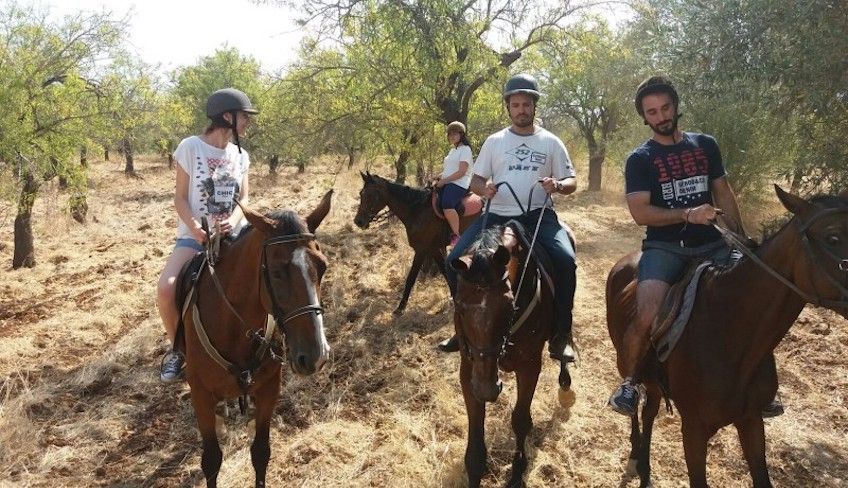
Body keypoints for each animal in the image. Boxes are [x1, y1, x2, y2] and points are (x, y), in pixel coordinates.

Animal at [183, 191, 334, 488]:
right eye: (275, 272)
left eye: (322, 267)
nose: (316, 356)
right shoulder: (200, 394)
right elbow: (211, 460)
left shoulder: (269, 388)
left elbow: (261, 452)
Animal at [354, 172, 480, 314]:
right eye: (361, 194)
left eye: (371, 195)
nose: (358, 221)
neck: (417, 210)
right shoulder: (434, 249)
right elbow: (445, 272)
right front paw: (454, 298)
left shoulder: (421, 250)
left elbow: (411, 278)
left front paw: (400, 308)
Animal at [450, 222, 576, 488]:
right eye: (460, 306)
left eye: (509, 306)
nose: (487, 390)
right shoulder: (469, 369)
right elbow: (475, 431)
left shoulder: (529, 365)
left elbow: (520, 419)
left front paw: (518, 472)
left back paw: (565, 382)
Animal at [608, 185, 848, 486]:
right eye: (833, 237)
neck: (730, 333)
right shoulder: (694, 429)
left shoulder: (751, 420)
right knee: (636, 405)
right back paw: (633, 451)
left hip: (655, 382)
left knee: (649, 410)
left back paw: (644, 468)